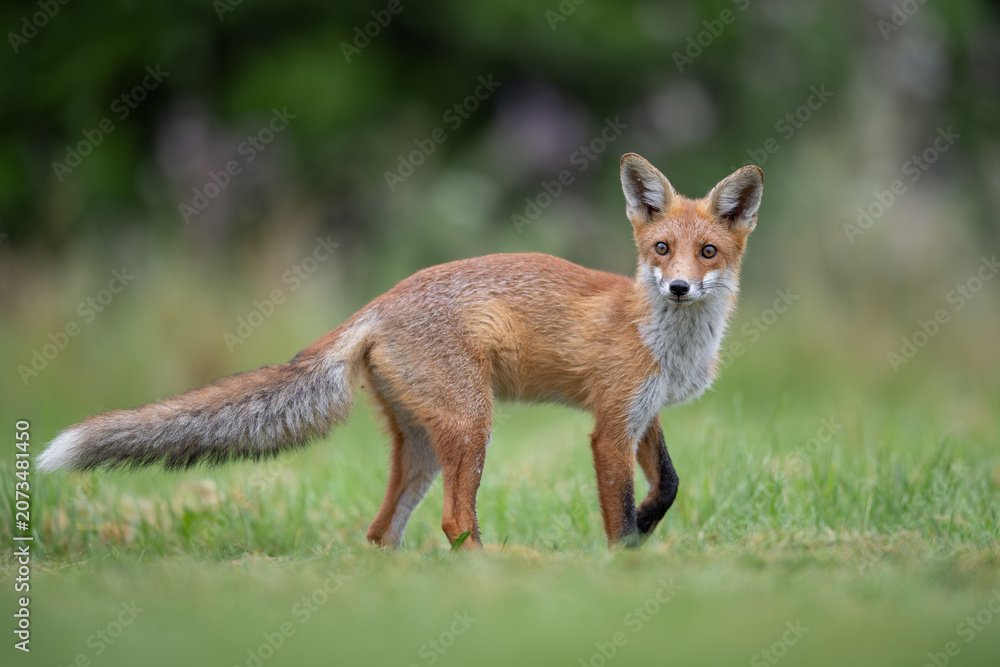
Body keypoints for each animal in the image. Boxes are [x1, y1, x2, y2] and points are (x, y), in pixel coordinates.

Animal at [37, 153, 763, 550]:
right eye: (661, 248)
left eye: (708, 252)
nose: (677, 286)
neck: (666, 339)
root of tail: (380, 301)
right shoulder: (610, 425)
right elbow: (618, 516)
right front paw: (623, 562)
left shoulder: (641, 412)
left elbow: (668, 483)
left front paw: (647, 524)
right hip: (471, 427)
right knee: (455, 522)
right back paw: (499, 572)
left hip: (423, 445)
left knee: (383, 530)